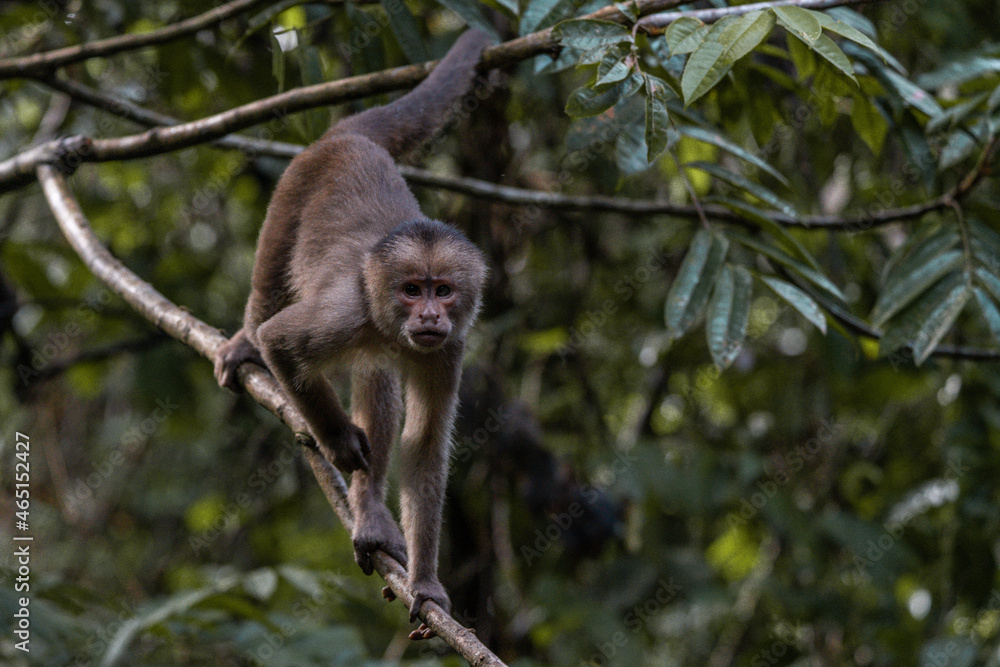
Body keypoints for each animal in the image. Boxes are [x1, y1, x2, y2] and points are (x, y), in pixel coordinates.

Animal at [213, 29, 492, 639]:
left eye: (444, 291)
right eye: (412, 289)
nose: (429, 318)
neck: (390, 325)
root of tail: (348, 138)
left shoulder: (450, 350)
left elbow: (424, 448)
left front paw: (426, 583)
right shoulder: (349, 311)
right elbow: (281, 340)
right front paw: (338, 439)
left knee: (377, 379)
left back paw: (369, 515)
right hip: (295, 182)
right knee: (271, 283)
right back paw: (244, 342)